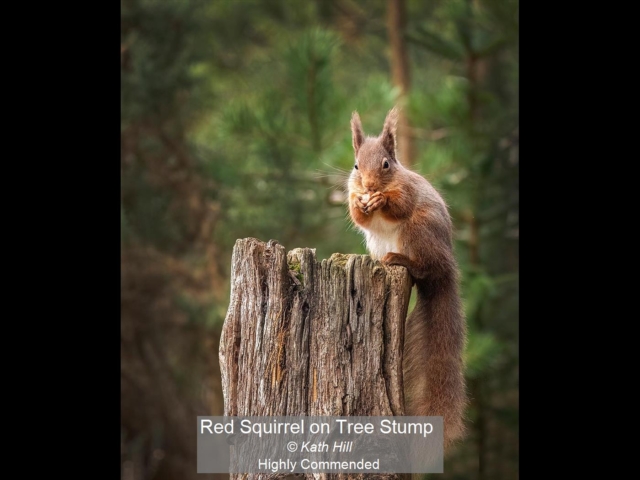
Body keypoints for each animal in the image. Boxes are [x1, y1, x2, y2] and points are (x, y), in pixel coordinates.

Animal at [347, 107, 467, 449]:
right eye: (356, 165)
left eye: (386, 164)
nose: (369, 185)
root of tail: (446, 268)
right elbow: (357, 215)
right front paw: (360, 203)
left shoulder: (407, 193)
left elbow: (398, 205)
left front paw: (381, 201)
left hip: (419, 230)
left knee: (423, 266)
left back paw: (400, 260)